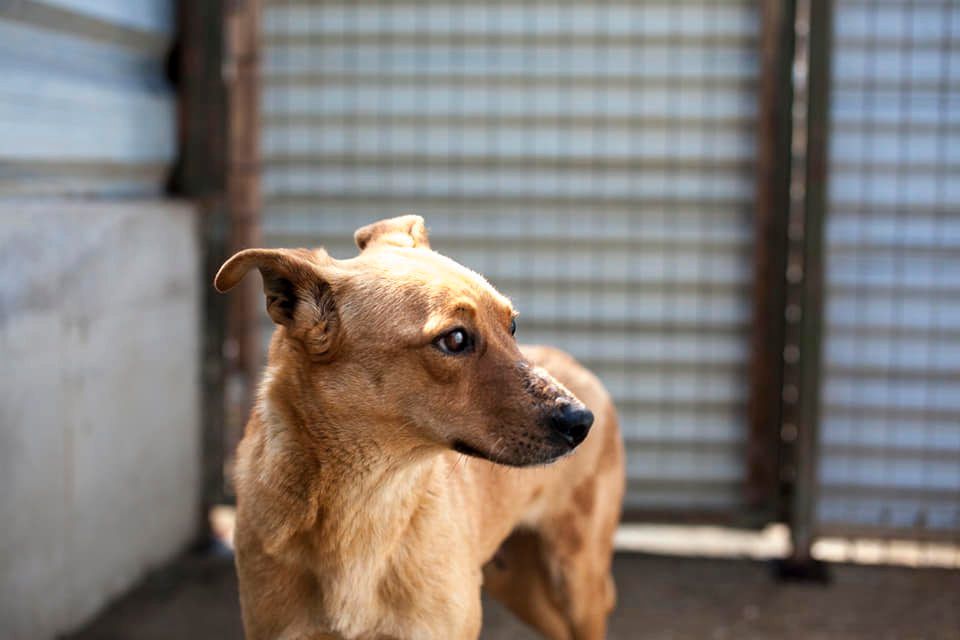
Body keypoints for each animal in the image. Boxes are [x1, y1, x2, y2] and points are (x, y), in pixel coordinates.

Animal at [214, 216, 628, 640]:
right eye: (455, 339)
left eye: (511, 326)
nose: (581, 421)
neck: (366, 504)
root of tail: (578, 367)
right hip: (517, 583)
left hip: (576, 580)